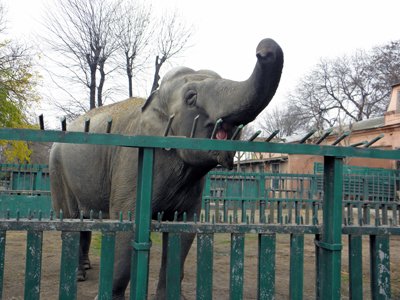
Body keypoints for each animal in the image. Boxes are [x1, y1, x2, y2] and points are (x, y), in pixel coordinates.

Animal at [48, 38, 282, 300]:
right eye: (191, 96)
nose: (263, 49)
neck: (155, 99)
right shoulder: (131, 163)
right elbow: (126, 226)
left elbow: (183, 232)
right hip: (57, 170)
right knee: (71, 220)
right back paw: (79, 274)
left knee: (85, 223)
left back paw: (86, 267)